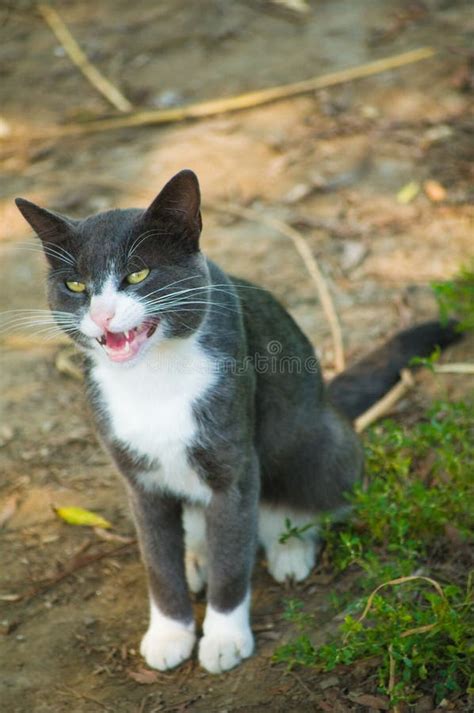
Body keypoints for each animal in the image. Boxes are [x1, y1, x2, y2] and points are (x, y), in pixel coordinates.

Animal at [14, 170, 460, 672]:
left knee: (306, 500)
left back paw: (289, 548)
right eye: (75, 286)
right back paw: (195, 560)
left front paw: (224, 637)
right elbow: (157, 562)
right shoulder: (139, 481)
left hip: (318, 445)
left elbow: (232, 558)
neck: (152, 380)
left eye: (138, 274)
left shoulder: (233, 467)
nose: (103, 315)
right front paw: (170, 633)